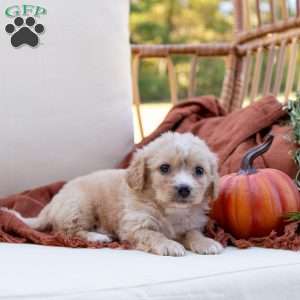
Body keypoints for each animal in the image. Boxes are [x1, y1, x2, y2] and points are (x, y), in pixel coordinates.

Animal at [12, 132, 223, 256]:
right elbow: (154, 234)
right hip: (79, 206)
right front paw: (169, 245)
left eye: (199, 171)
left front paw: (206, 243)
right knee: (66, 232)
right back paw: (97, 237)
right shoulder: (135, 226)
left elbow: (193, 233)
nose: (184, 188)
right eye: (164, 168)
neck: (171, 210)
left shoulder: (190, 224)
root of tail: (51, 205)